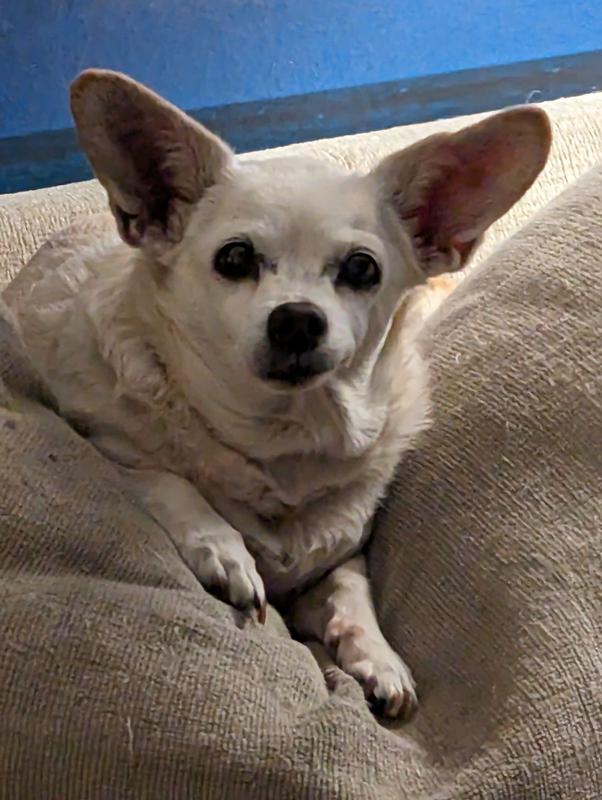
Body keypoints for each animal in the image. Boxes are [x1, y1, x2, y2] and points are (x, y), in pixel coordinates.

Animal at [5, 70, 551, 719]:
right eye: (235, 257)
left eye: (362, 269)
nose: (297, 319)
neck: (283, 441)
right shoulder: (106, 440)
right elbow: (169, 482)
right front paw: (226, 551)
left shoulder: (334, 561)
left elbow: (351, 586)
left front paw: (378, 655)